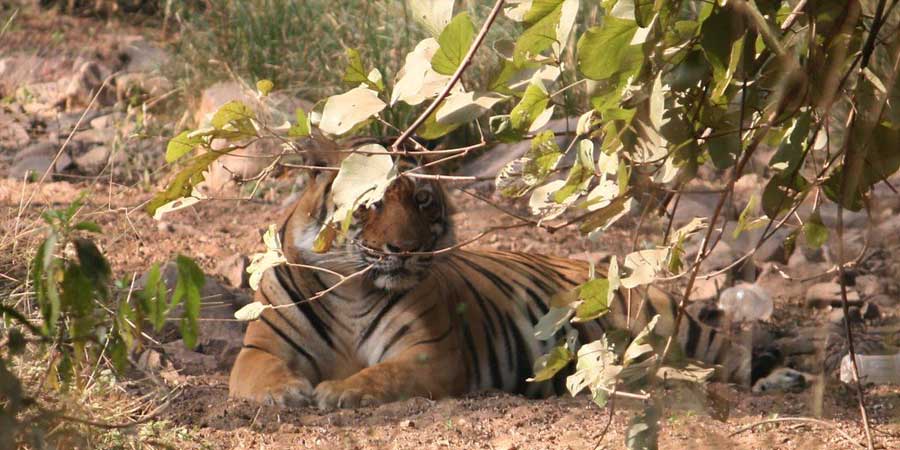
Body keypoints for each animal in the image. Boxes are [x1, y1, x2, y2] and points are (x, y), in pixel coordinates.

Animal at [229, 136, 804, 408]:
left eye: (421, 200)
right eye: (370, 203)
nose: (407, 249)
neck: (351, 289)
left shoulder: (429, 354)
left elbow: (383, 374)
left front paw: (342, 391)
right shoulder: (260, 349)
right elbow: (259, 374)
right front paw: (286, 393)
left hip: (671, 324)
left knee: (732, 354)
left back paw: (785, 378)